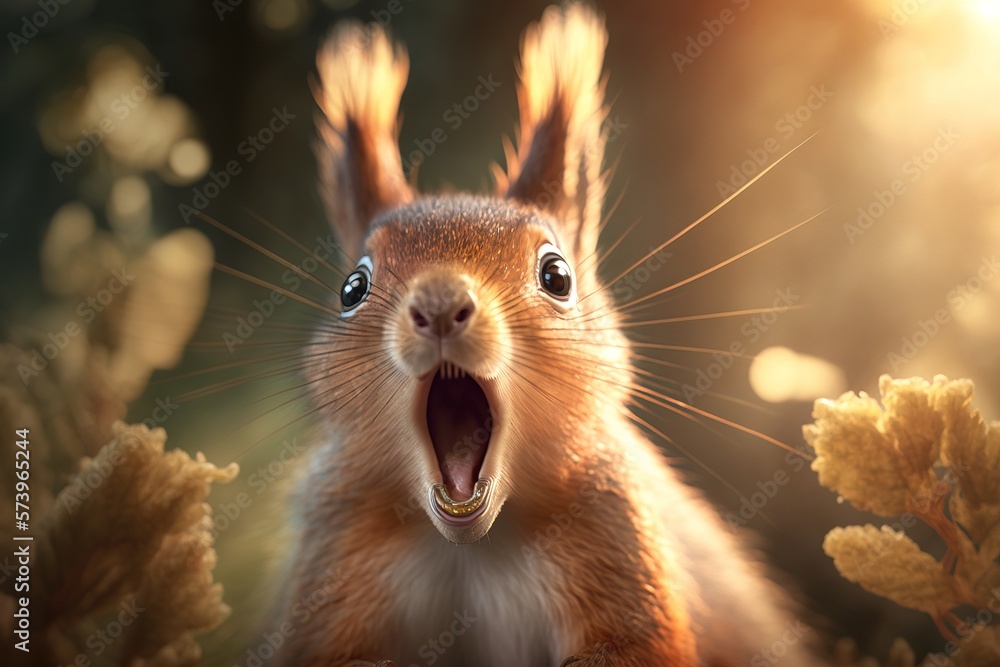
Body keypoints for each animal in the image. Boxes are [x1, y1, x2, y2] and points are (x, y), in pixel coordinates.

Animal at [270, 4, 825, 666]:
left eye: (557, 275)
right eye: (352, 289)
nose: (440, 304)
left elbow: (643, 646)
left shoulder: (613, 533)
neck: (475, 544)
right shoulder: (337, 547)